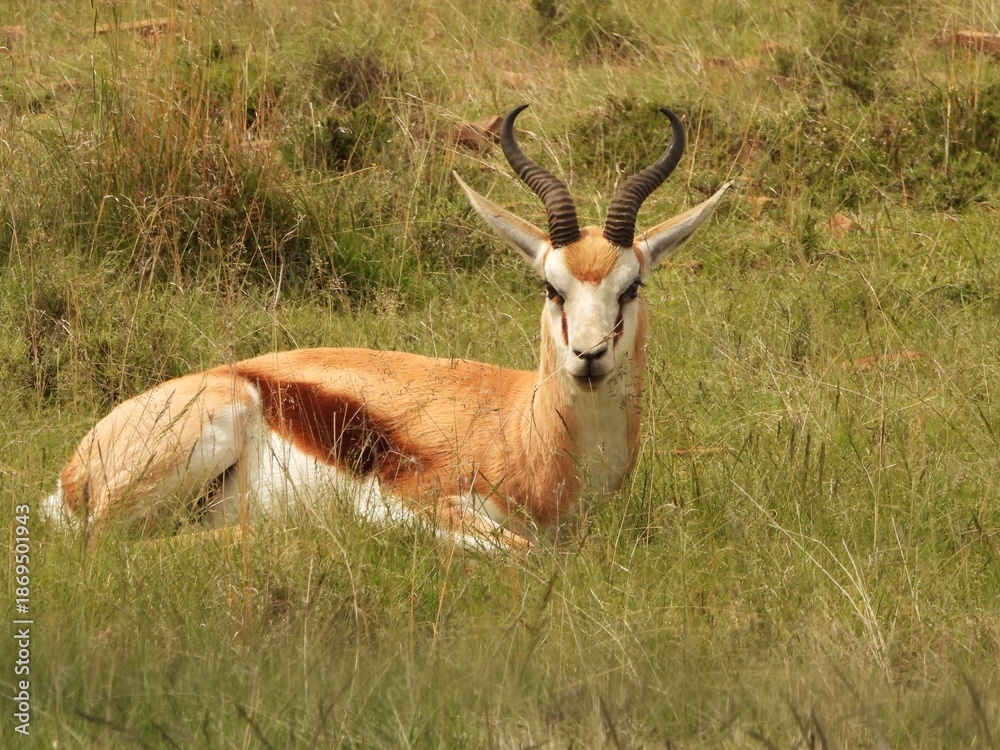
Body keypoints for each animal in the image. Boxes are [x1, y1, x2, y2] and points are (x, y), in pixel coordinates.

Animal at [41, 105, 730, 552]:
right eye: (550, 287)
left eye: (631, 287)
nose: (588, 356)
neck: (524, 431)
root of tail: (73, 473)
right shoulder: (402, 499)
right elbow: (527, 553)